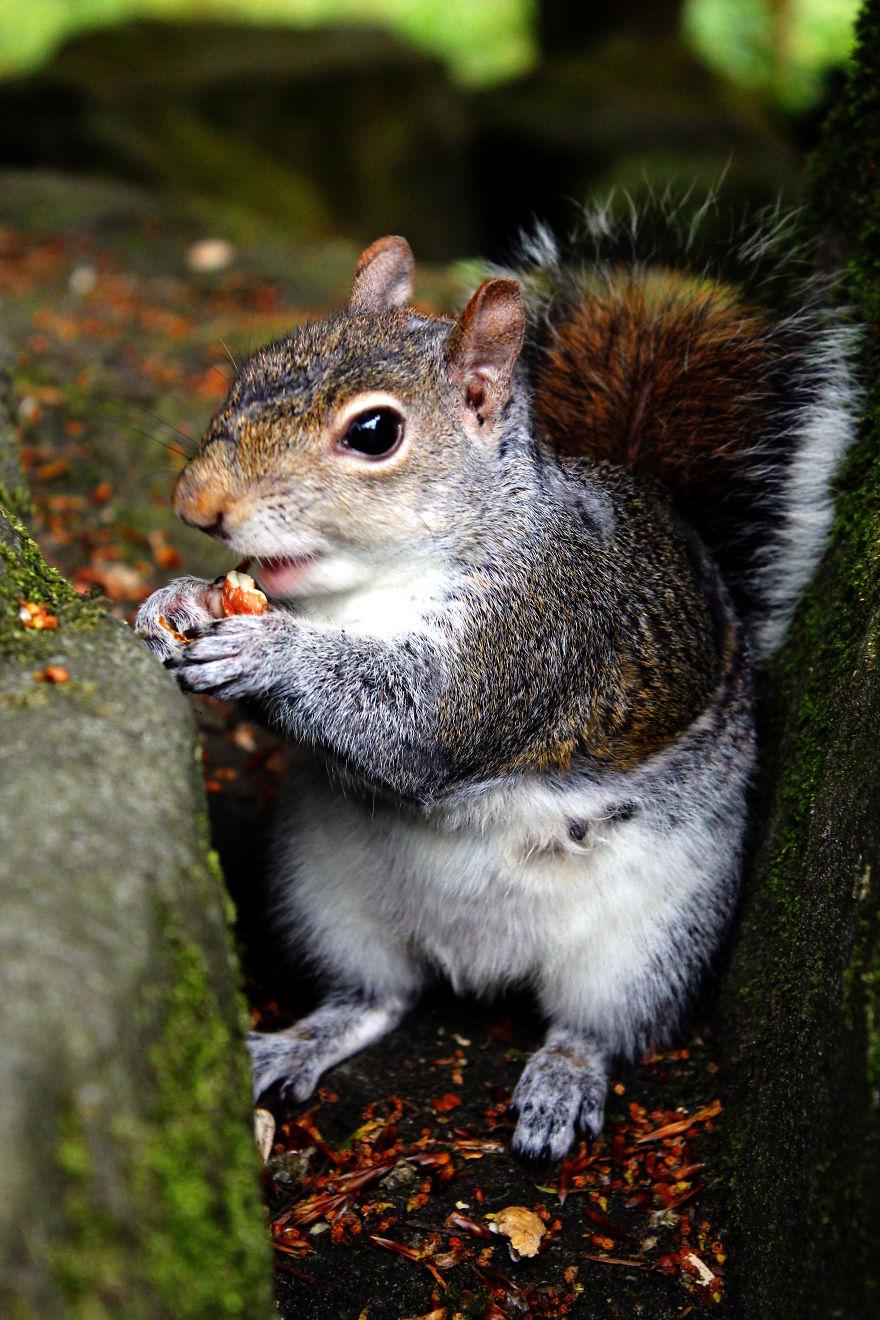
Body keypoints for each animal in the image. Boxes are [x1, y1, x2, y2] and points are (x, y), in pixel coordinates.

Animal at [136, 199, 859, 1159]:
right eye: (252, 369)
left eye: (374, 432)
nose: (197, 504)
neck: (368, 590)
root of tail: (480, 964)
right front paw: (172, 599)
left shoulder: (533, 632)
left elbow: (416, 723)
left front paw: (266, 654)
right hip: (329, 899)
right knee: (376, 998)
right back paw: (300, 1041)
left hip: (648, 940)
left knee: (594, 1024)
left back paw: (562, 1082)